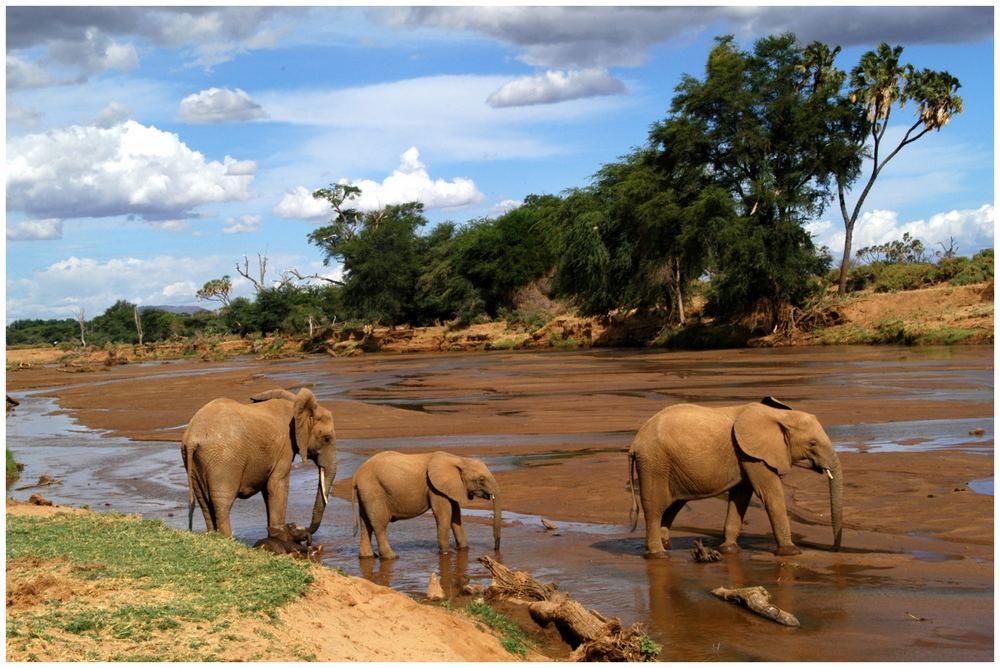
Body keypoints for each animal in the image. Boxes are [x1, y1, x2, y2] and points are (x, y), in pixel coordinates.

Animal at [180, 388, 336, 540]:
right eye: (327, 438)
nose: (304, 530)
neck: (295, 403)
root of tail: (193, 436)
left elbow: (267, 490)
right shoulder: (285, 448)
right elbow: (277, 485)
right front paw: (281, 536)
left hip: (193, 463)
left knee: (203, 501)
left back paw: (214, 536)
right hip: (223, 460)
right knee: (222, 502)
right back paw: (227, 539)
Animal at [354, 448, 508, 560]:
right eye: (481, 479)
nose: (495, 549)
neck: (458, 459)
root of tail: (356, 475)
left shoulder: (451, 487)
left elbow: (455, 516)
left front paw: (463, 549)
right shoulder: (435, 488)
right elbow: (444, 515)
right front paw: (447, 553)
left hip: (366, 493)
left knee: (365, 524)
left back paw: (368, 557)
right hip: (373, 491)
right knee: (379, 525)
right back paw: (392, 557)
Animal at [628, 396, 840, 560]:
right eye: (812, 443)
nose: (834, 549)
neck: (778, 415)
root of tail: (635, 442)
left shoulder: (746, 455)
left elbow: (741, 496)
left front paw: (729, 550)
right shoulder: (752, 454)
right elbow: (770, 494)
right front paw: (792, 552)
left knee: (674, 505)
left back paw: (666, 545)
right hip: (654, 463)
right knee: (655, 507)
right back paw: (659, 554)